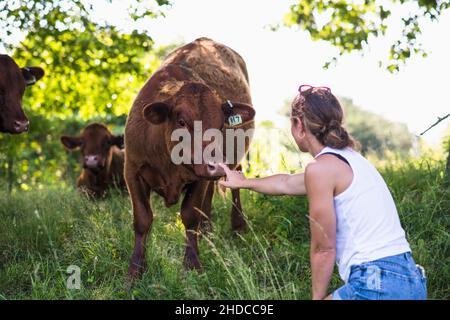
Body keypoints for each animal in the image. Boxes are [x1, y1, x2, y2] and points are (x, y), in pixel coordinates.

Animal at [125, 37, 255, 278]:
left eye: (220, 125)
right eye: (182, 122)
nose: (215, 166)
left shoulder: (199, 178)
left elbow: (190, 215)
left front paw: (192, 264)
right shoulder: (132, 170)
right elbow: (142, 218)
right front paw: (135, 269)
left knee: (236, 177)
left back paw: (237, 226)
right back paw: (208, 230)